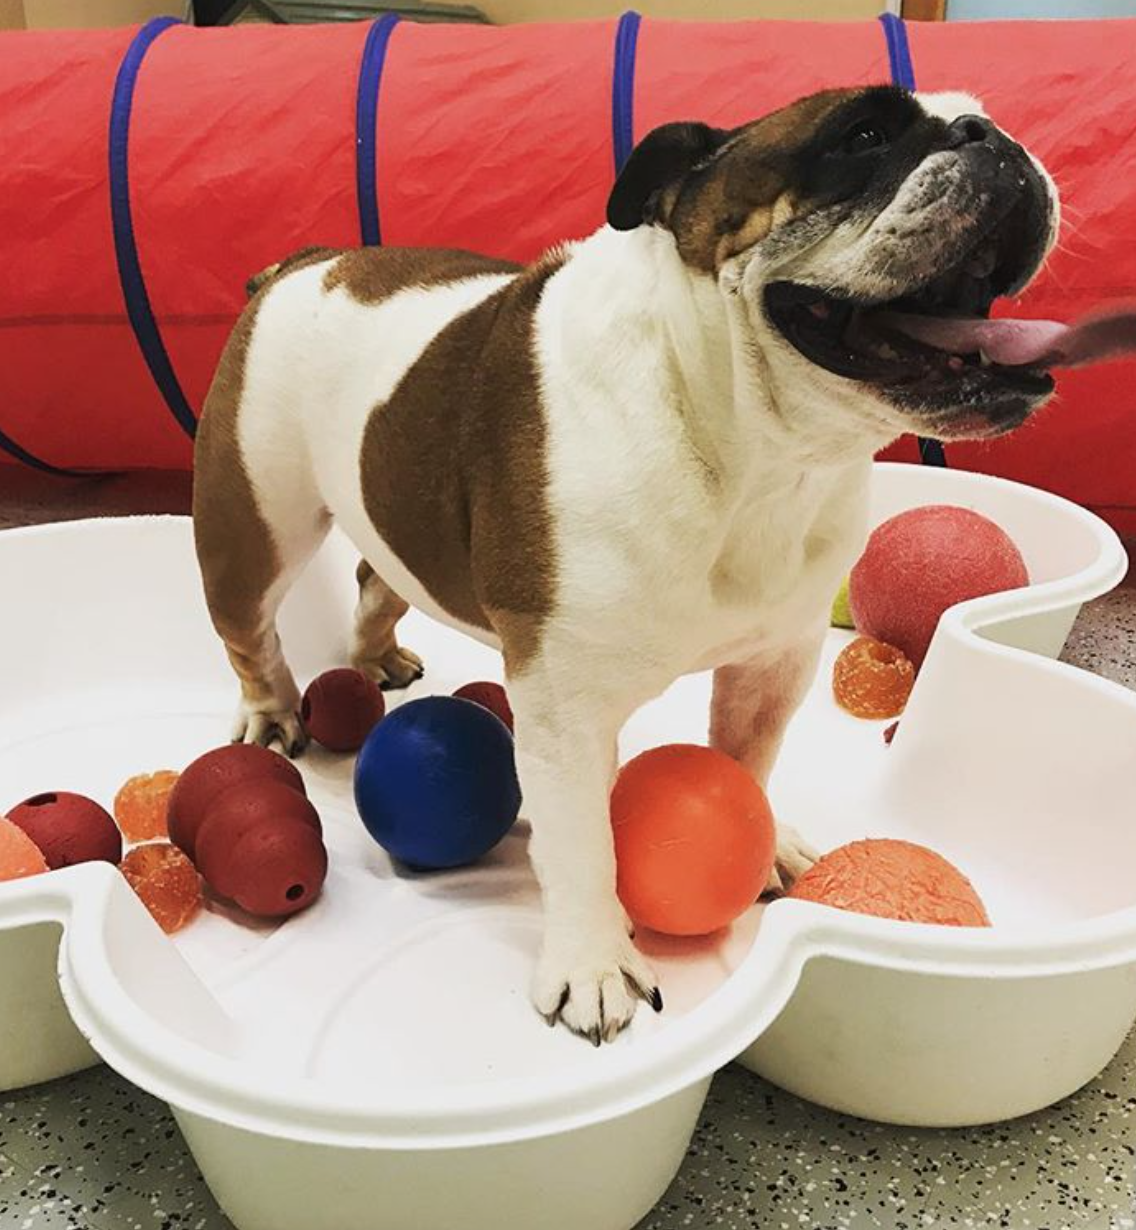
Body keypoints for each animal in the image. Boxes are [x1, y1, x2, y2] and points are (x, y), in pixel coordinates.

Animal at [193, 86, 1057, 1043]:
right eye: (861, 135)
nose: (993, 137)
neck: (752, 451)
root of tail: (305, 265)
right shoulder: (564, 712)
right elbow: (579, 846)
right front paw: (593, 967)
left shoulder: (776, 661)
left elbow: (748, 762)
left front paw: (764, 844)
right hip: (252, 521)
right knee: (250, 631)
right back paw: (272, 715)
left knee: (378, 578)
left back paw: (379, 657)